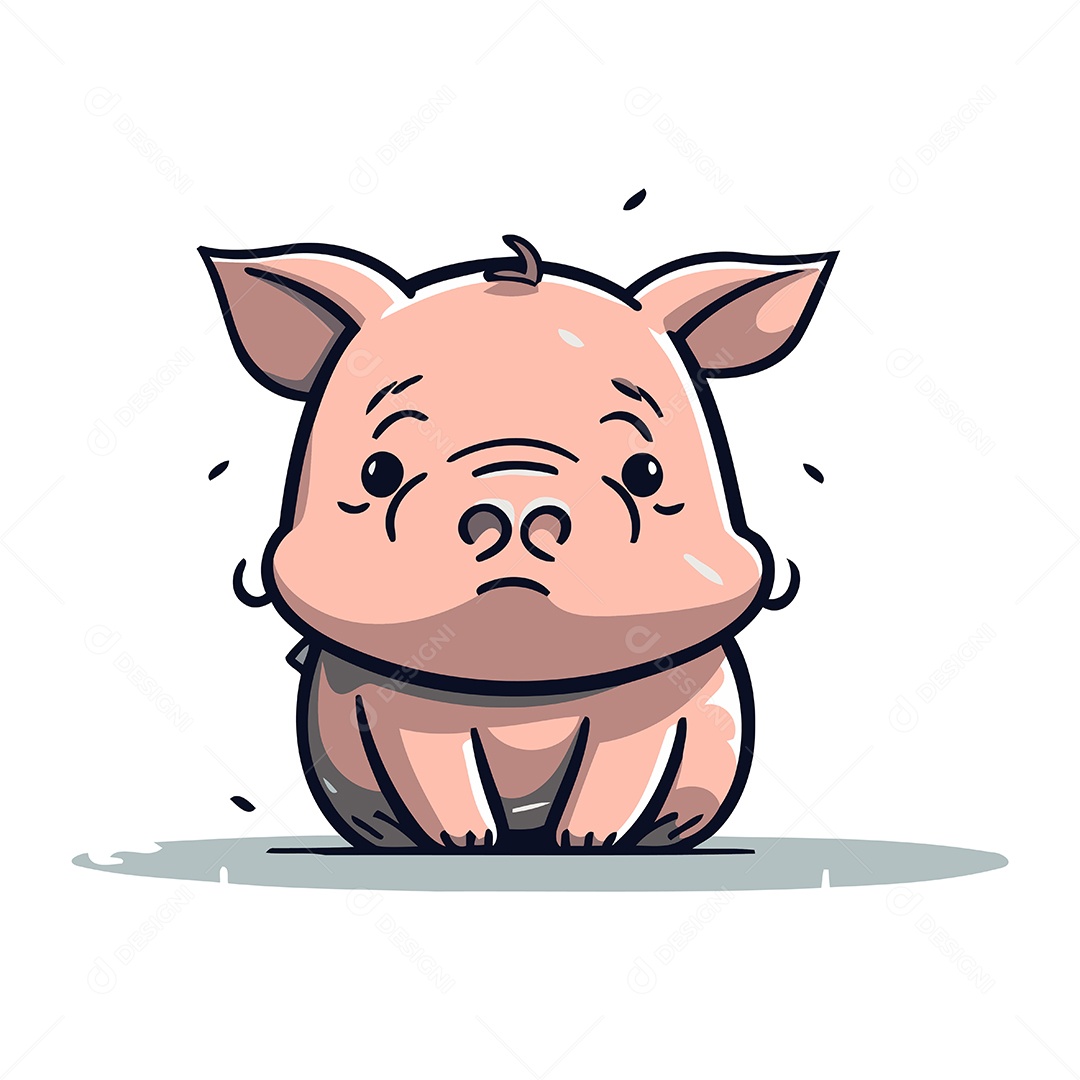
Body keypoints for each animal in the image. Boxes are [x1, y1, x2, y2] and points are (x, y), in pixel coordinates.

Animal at [200, 234, 836, 852]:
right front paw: (463, 843)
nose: (515, 505)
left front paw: (591, 842)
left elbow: (617, 766)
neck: (523, 690)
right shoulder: (401, 710)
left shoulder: (653, 706)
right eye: (379, 472)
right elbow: (433, 771)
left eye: (645, 472)